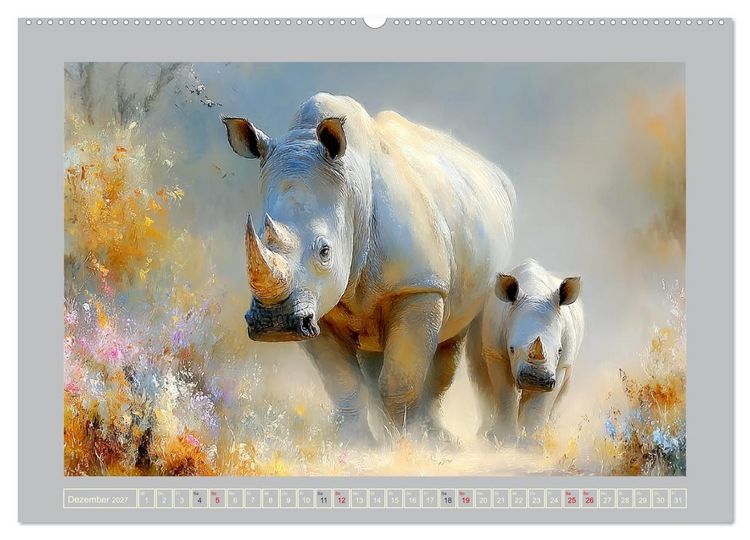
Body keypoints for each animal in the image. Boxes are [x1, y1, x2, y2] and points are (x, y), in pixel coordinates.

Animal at [223, 93, 515, 444]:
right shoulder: (315, 305)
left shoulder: (419, 285)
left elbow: (400, 379)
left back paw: (438, 438)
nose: (275, 323)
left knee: (455, 337)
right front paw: (355, 442)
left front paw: (405, 444)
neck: (352, 194)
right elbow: (343, 381)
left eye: (325, 251)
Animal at [468, 258, 584, 444]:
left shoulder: (561, 364)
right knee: (481, 380)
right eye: (511, 349)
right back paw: (484, 434)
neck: (534, 293)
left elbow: (542, 402)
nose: (535, 379)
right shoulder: (496, 353)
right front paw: (503, 439)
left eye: (559, 350)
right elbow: (505, 393)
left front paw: (533, 443)